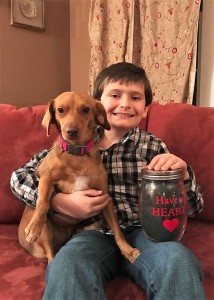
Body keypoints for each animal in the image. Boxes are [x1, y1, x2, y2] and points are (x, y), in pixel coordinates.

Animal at [18, 91, 140, 262]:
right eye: (60, 110)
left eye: (86, 110)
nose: (71, 131)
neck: (77, 153)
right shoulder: (46, 177)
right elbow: (43, 202)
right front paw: (34, 226)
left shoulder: (104, 197)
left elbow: (117, 230)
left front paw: (127, 250)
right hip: (46, 233)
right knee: (51, 257)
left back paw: (95, 225)